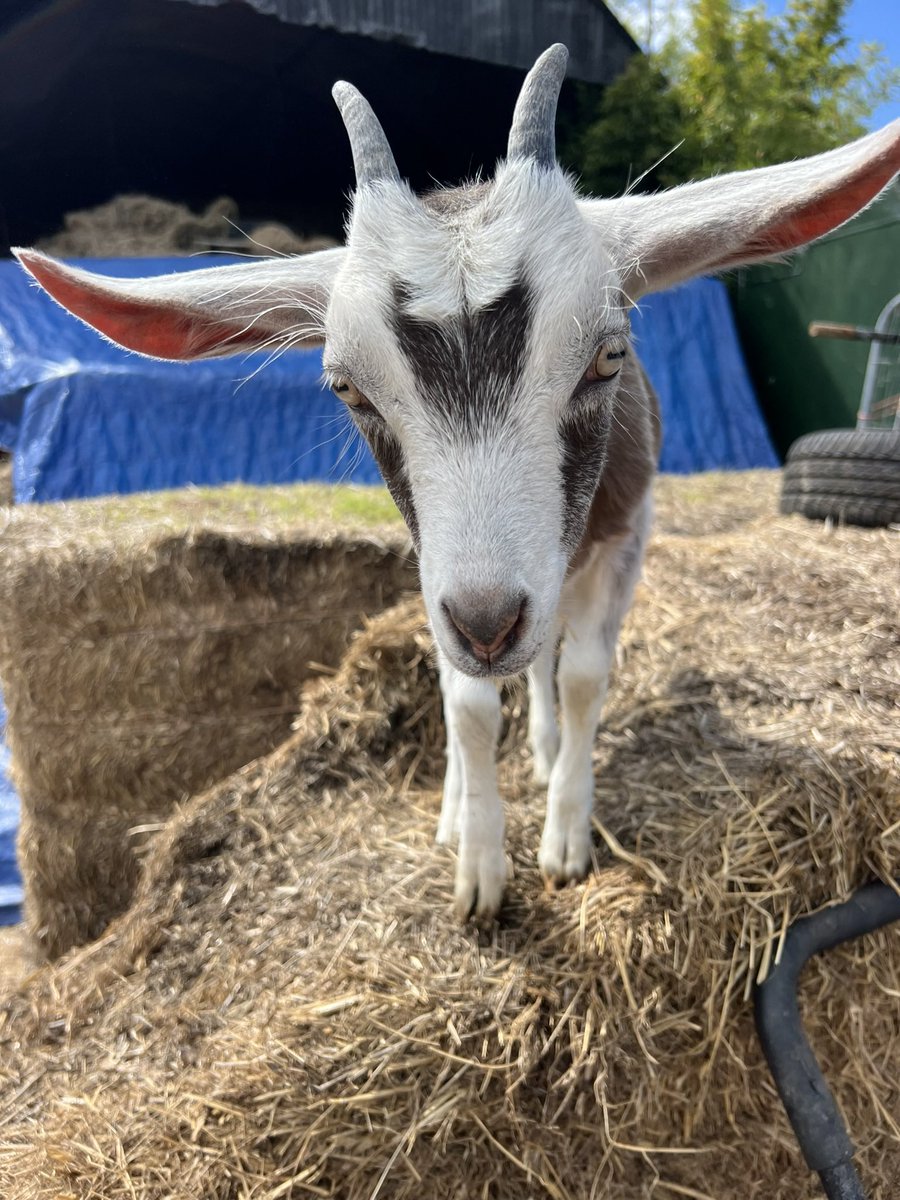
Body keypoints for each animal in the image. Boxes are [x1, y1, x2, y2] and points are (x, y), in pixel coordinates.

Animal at [17, 46, 900, 922]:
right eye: (348, 388)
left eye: (608, 354)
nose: (487, 623)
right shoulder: (436, 571)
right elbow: (468, 703)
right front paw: (479, 866)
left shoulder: (625, 537)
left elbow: (582, 677)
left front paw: (565, 839)